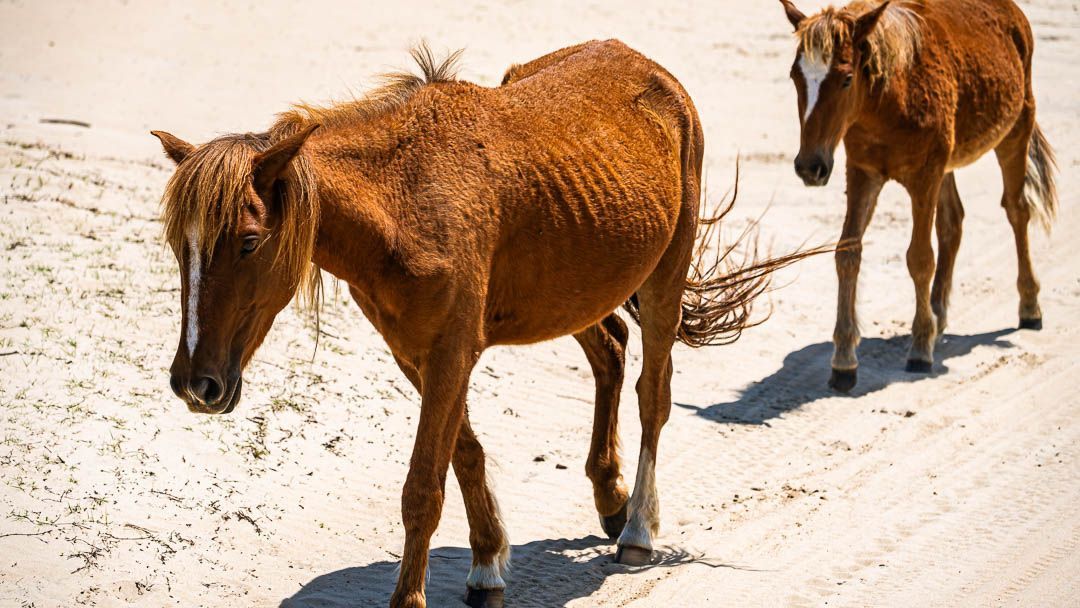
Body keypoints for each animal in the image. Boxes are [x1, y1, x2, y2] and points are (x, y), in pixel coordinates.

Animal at [153, 41, 817, 607]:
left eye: (247, 242)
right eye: (179, 246)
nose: (195, 384)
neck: (405, 201)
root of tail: (653, 72)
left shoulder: (449, 351)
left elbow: (423, 488)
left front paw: (412, 596)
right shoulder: (417, 353)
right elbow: (464, 455)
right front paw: (488, 559)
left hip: (663, 280)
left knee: (653, 395)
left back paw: (636, 529)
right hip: (575, 290)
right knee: (610, 351)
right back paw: (609, 496)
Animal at [777, 0, 1058, 391]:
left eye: (846, 79)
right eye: (795, 77)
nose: (809, 166)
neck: (889, 100)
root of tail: (1014, 13)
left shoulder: (924, 177)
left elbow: (920, 258)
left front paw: (920, 347)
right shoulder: (863, 173)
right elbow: (847, 253)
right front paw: (844, 359)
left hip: (1015, 130)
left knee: (1017, 211)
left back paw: (1029, 306)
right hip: (947, 164)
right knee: (953, 222)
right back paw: (939, 313)